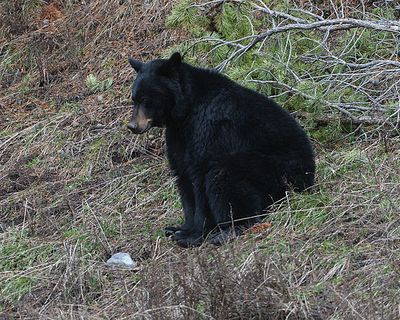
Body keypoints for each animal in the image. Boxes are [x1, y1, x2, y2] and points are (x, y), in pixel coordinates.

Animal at [128, 52, 316, 248]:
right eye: (134, 99)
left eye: (146, 100)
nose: (132, 126)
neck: (186, 110)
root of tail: (309, 180)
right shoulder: (178, 135)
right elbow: (183, 175)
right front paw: (181, 228)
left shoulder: (209, 126)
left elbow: (200, 175)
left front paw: (193, 235)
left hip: (275, 171)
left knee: (224, 176)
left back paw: (229, 230)